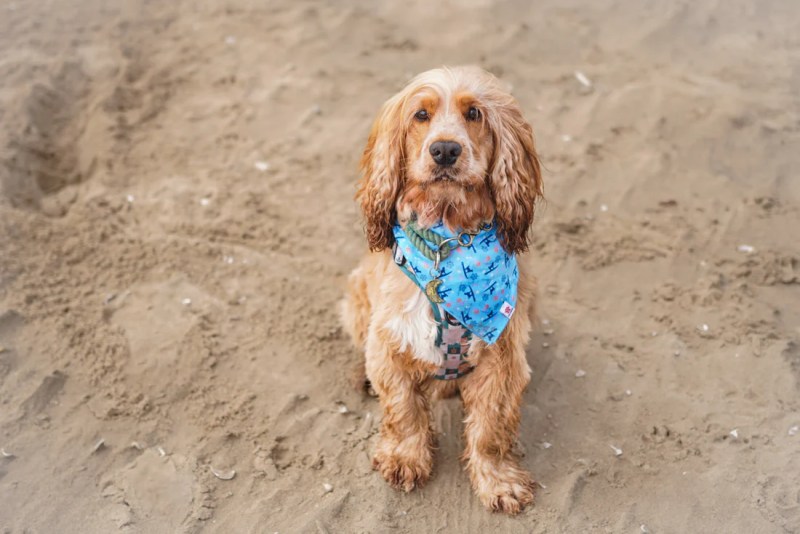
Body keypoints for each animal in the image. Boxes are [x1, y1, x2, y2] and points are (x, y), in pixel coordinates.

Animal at [340, 65, 544, 516]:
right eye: (421, 114)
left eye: (474, 113)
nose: (445, 150)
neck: (448, 240)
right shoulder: (391, 343)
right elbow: (403, 410)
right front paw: (405, 459)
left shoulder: (503, 360)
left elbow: (490, 431)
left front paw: (499, 482)